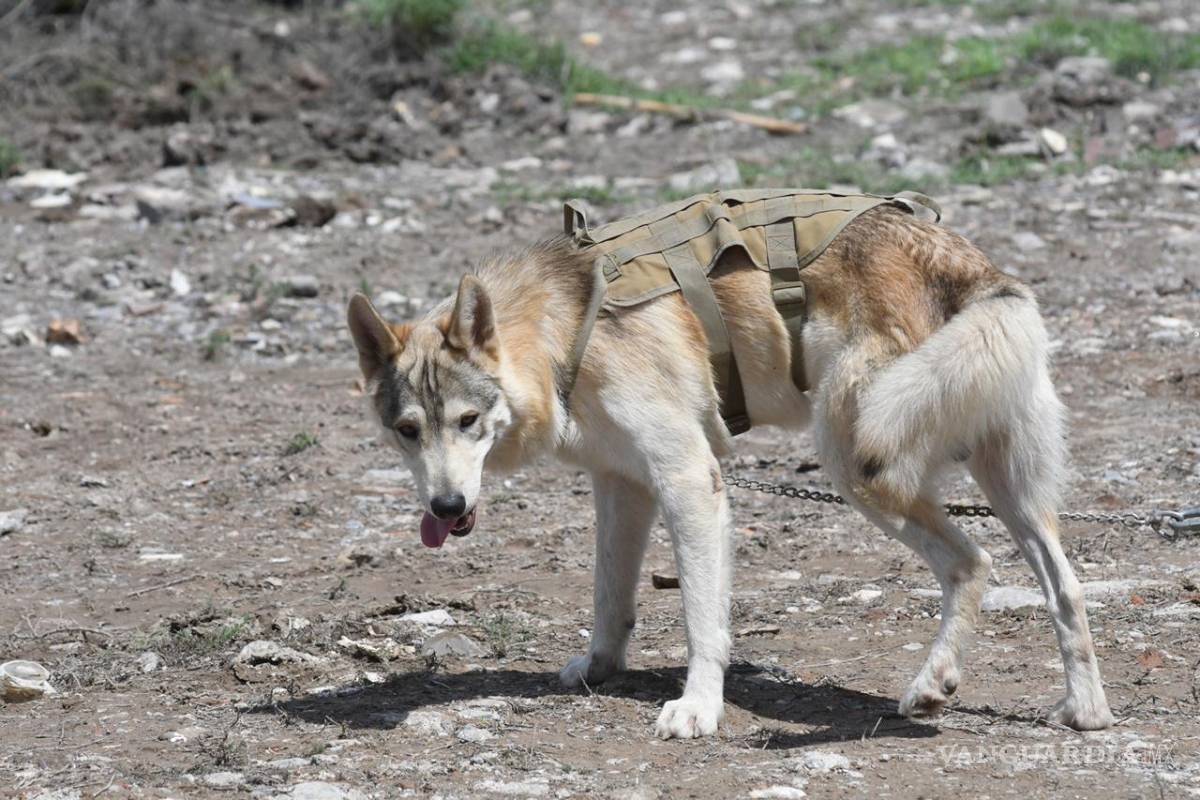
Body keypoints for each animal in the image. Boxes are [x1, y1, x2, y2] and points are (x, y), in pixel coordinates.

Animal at [346, 200, 1114, 739]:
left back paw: (938, 681)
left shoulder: (691, 482)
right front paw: (599, 669)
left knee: (971, 561)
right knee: (1060, 586)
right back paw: (1079, 709)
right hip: (1010, 492)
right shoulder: (623, 487)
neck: (564, 332)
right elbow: (610, 598)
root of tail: (966, 265)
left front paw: (697, 708)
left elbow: (701, 622)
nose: (445, 509)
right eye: (407, 432)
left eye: (468, 423)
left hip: (857, 465)